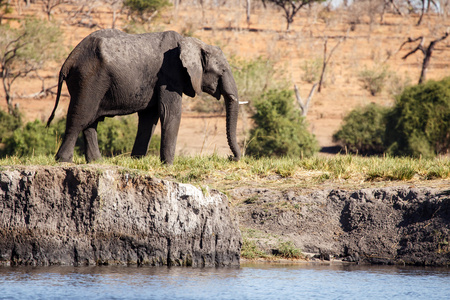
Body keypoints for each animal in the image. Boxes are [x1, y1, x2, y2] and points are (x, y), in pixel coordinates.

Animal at [47, 28, 241, 164]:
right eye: (222, 71)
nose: (231, 158)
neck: (191, 42)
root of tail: (68, 61)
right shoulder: (170, 75)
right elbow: (170, 113)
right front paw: (168, 165)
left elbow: (149, 117)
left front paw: (137, 160)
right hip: (88, 79)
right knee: (80, 117)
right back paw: (63, 161)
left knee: (91, 121)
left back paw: (96, 162)